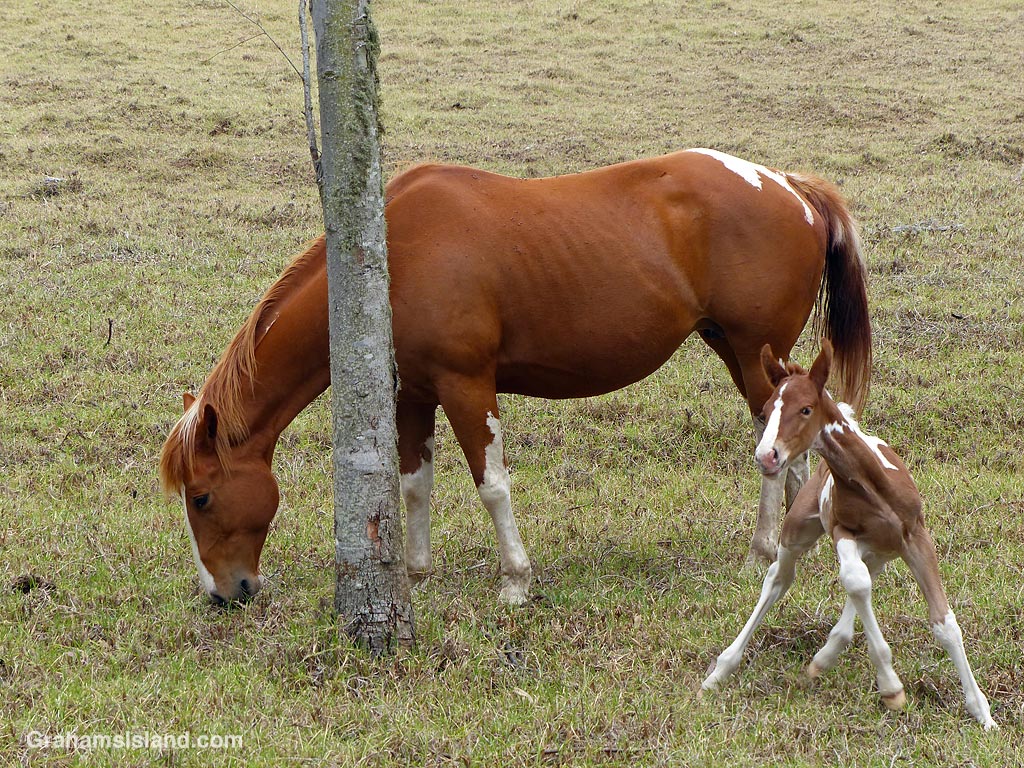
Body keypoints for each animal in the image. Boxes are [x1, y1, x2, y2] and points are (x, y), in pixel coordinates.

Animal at [159, 148, 872, 606]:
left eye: (202, 498)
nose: (224, 593)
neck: (393, 255)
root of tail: (788, 185)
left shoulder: (466, 385)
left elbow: (492, 484)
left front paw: (515, 581)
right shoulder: (413, 392)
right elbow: (414, 484)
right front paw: (415, 576)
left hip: (753, 351)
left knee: (777, 449)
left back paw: (766, 551)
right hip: (740, 352)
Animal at [700, 341, 997, 729]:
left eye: (805, 409)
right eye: (764, 411)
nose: (767, 456)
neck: (873, 487)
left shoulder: (916, 537)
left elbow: (944, 623)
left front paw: (982, 713)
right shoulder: (842, 530)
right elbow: (854, 582)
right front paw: (891, 687)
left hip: (881, 551)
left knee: (862, 581)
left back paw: (825, 655)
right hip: (800, 531)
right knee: (780, 578)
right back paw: (722, 669)